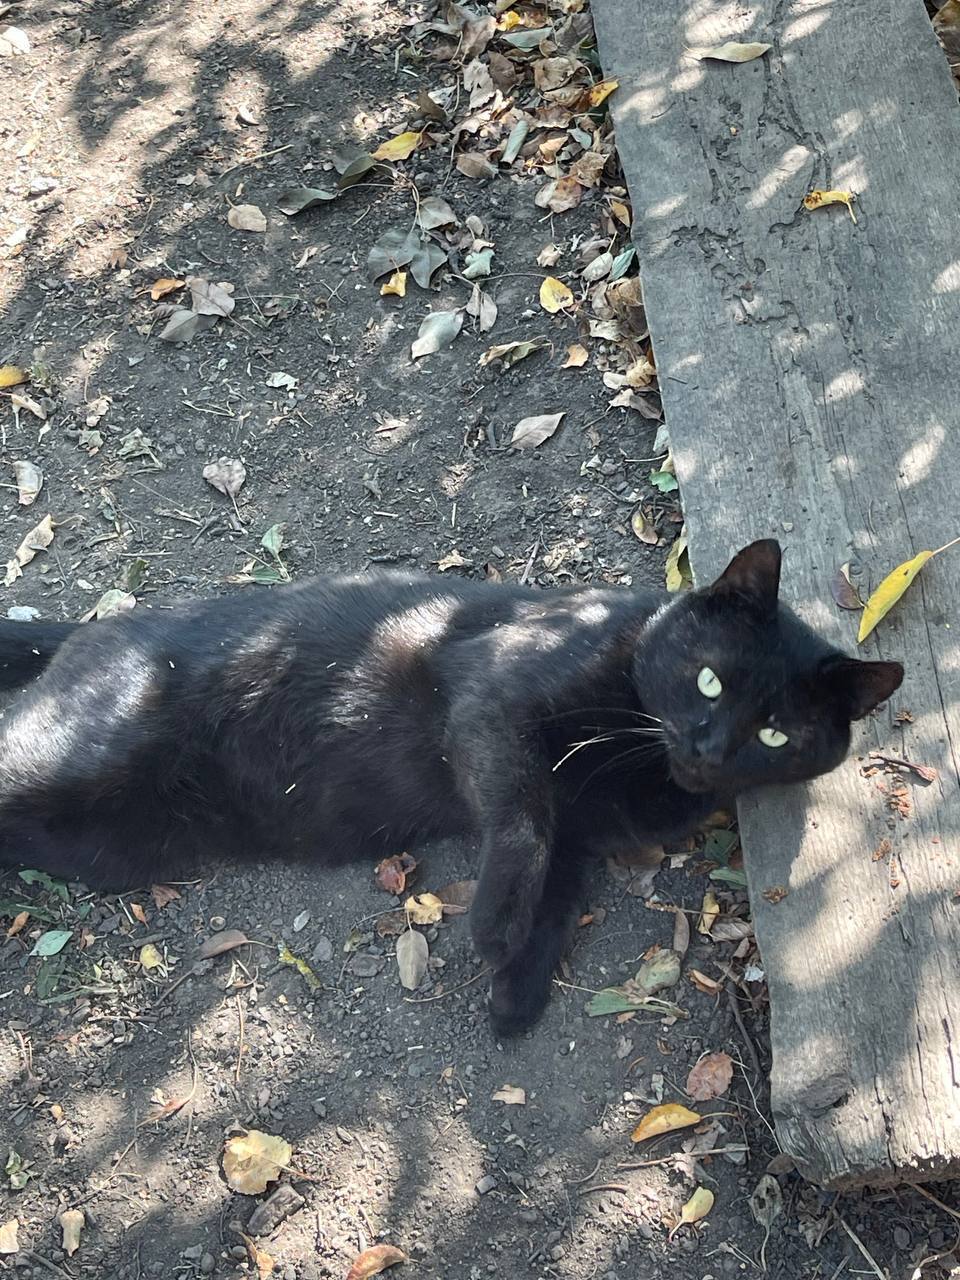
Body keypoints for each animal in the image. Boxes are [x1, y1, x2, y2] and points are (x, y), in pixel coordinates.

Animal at [0, 539, 901, 1035]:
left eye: (775, 734)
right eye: (711, 681)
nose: (710, 748)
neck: (644, 764)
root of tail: (93, 626)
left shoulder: (582, 837)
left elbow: (559, 891)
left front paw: (517, 989)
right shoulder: (491, 704)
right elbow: (525, 820)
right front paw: (497, 927)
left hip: (105, 835)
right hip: (74, 757)